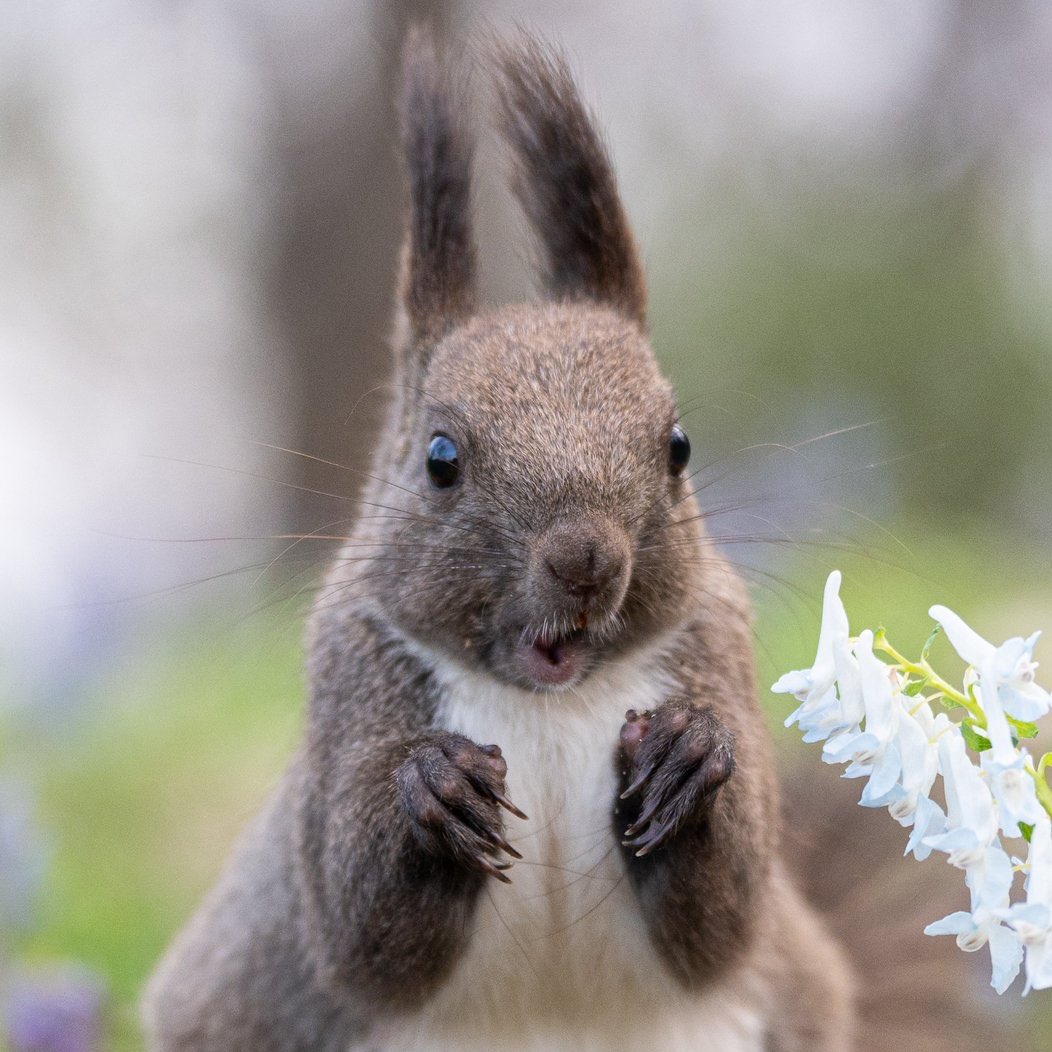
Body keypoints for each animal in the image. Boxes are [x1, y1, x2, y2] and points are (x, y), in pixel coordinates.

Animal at [143, 30, 1020, 1052]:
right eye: (440, 457)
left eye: (677, 446)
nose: (586, 559)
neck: (552, 703)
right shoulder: (349, 680)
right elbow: (360, 926)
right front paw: (432, 783)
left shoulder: (715, 649)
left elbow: (725, 914)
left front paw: (691, 753)